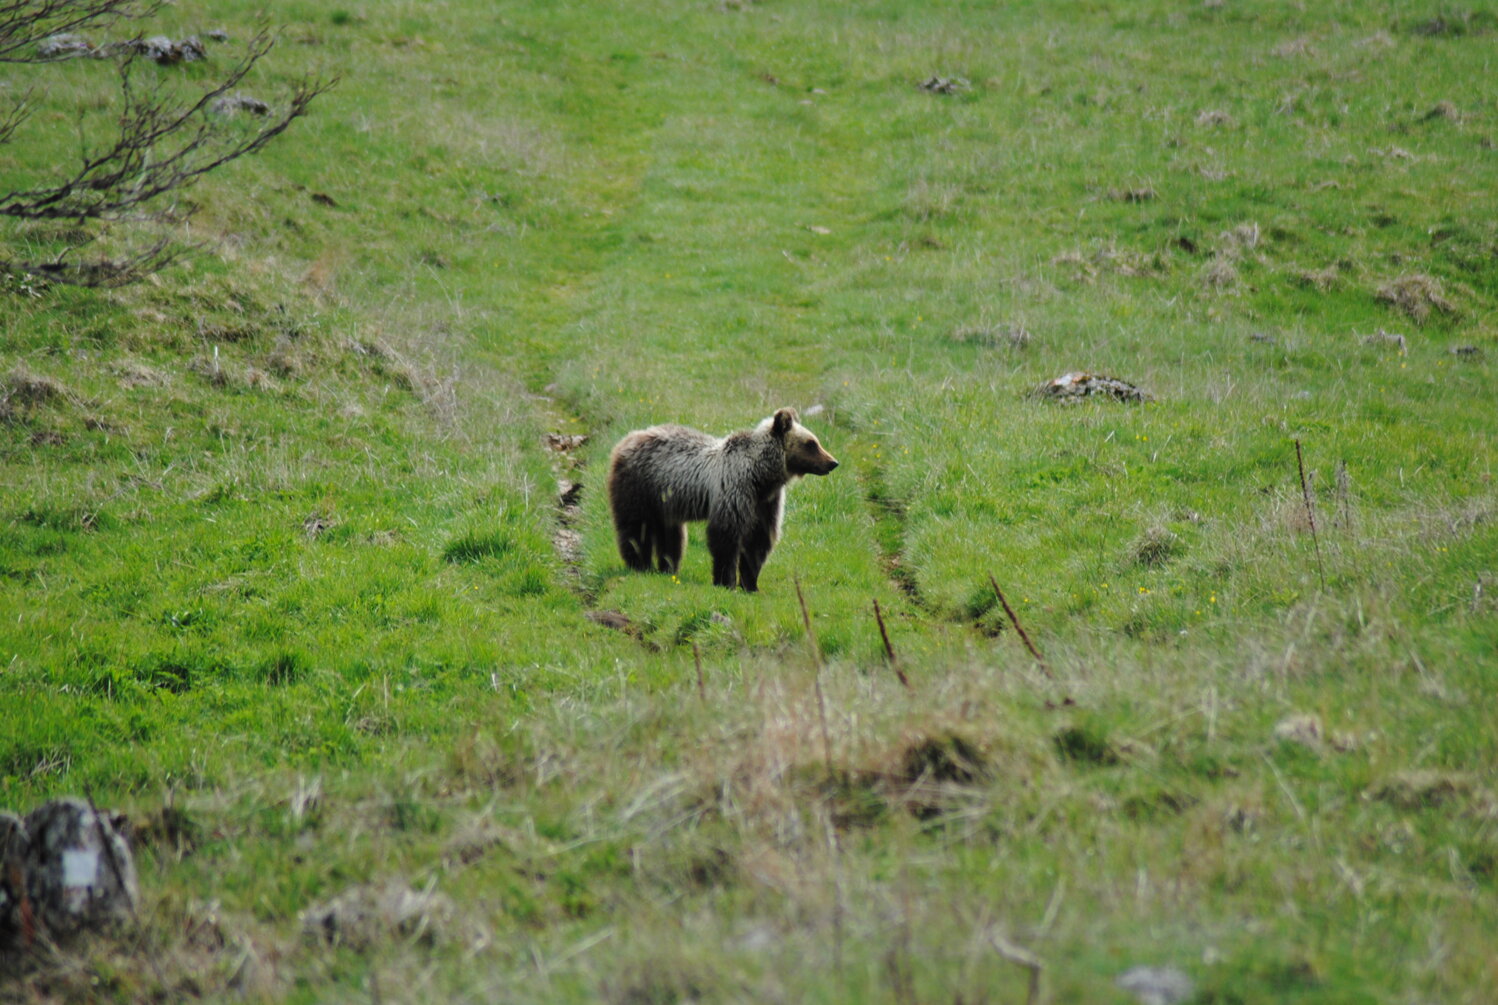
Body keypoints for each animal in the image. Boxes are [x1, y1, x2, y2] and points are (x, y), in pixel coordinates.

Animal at [606, 407, 839, 591]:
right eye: (811, 443)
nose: (833, 462)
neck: (761, 476)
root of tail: (627, 438)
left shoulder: (766, 503)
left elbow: (759, 541)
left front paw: (750, 584)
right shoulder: (735, 490)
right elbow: (726, 536)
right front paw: (725, 581)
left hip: (665, 501)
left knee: (671, 536)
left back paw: (667, 568)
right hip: (638, 487)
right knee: (636, 529)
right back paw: (640, 565)